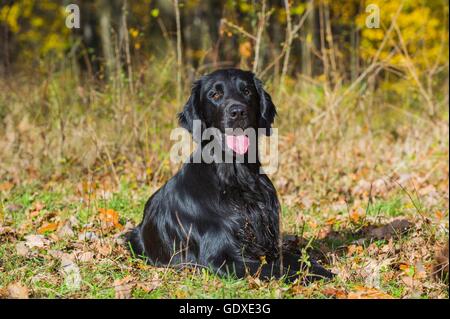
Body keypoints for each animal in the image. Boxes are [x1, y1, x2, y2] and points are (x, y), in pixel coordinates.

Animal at [127, 69, 334, 282]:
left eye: (247, 91)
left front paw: (320, 269)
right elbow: (277, 270)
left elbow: (298, 257)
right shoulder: (223, 260)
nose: (238, 112)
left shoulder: (269, 246)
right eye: (215, 94)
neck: (237, 178)